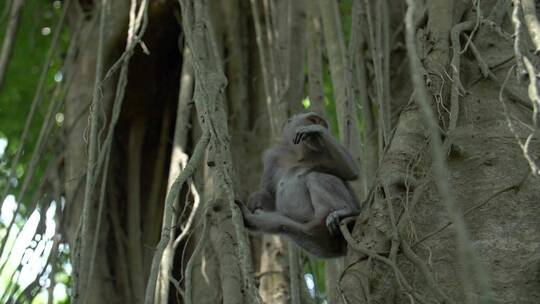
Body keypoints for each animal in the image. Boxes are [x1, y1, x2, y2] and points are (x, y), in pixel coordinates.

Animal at [237, 112, 360, 258]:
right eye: (311, 119)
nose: (319, 122)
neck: (299, 154)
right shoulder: (273, 157)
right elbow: (269, 194)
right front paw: (256, 199)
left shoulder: (324, 150)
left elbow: (350, 171)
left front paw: (316, 130)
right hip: (314, 237)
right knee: (287, 226)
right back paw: (250, 218)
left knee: (316, 176)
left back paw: (345, 211)